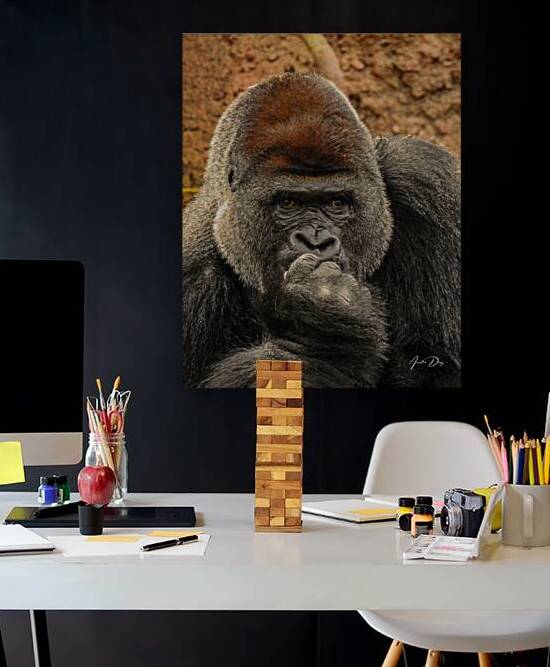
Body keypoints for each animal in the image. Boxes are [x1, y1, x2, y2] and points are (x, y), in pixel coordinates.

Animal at [183, 73, 460, 388]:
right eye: (288, 202)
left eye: (336, 202)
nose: (315, 241)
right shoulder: (192, 272)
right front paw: (321, 339)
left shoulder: (428, 181)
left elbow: (438, 366)